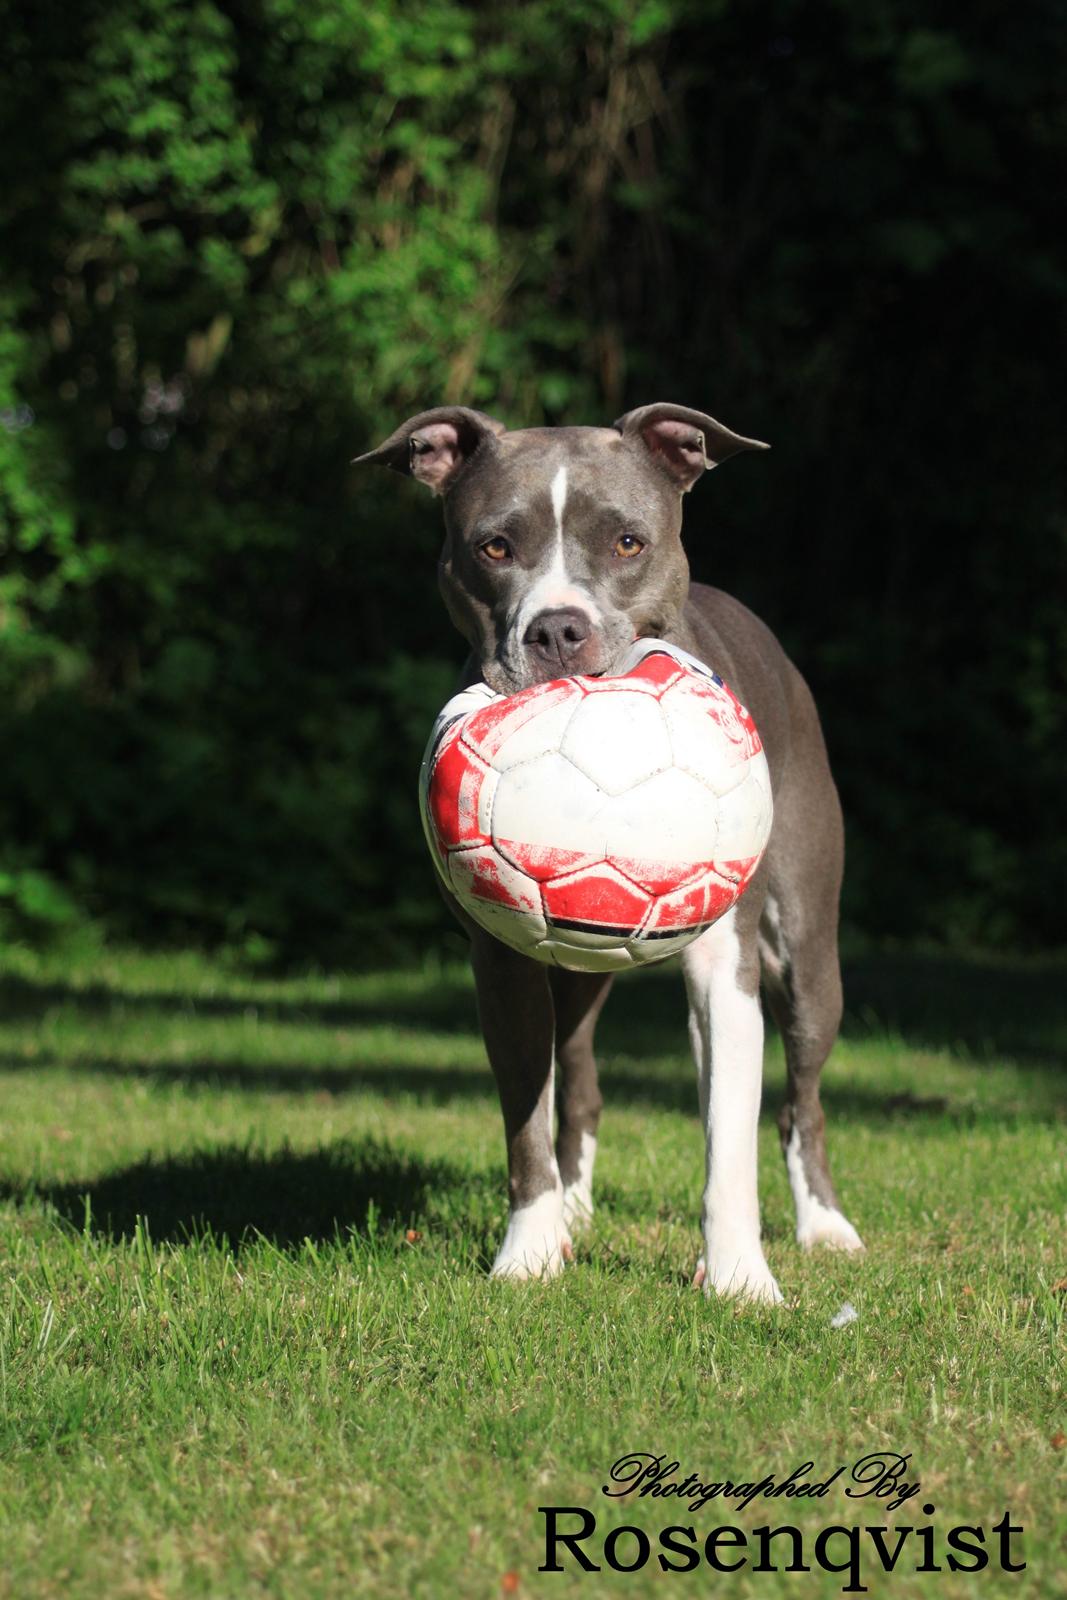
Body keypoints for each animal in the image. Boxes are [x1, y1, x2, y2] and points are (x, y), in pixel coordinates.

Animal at [355, 403, 863, 1299]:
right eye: (494, 547)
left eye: (628, 542)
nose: (558, 628)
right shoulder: (504, 962)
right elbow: (527, 1119)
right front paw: (528, 1254)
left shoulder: (725, 967)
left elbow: (727, 1137)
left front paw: (739, 1279)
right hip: (577, 976)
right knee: (580, 1081)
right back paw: (572, 1214)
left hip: (807, 952)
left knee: (799, 1095)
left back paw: (824, 1227)